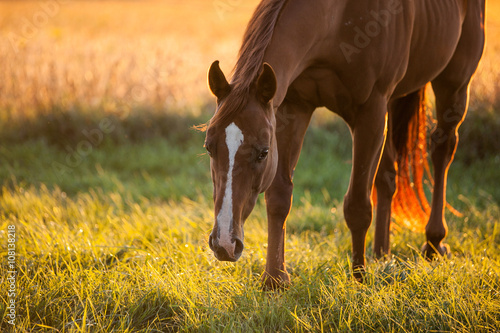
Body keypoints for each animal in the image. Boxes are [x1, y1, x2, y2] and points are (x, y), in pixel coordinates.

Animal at [203, 0, 484, 288]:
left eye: (263, 153)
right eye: (209, 147)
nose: (224, 244)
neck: (337, 20)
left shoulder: (370, 112)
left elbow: (357, 204)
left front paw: (359, 277)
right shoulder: (293, 108)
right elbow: (279, 196)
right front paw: (274, 279)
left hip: (454, 84)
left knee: (442, 149)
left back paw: (433, 242)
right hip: (394, 101)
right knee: (388, 175)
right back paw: (381, 253)